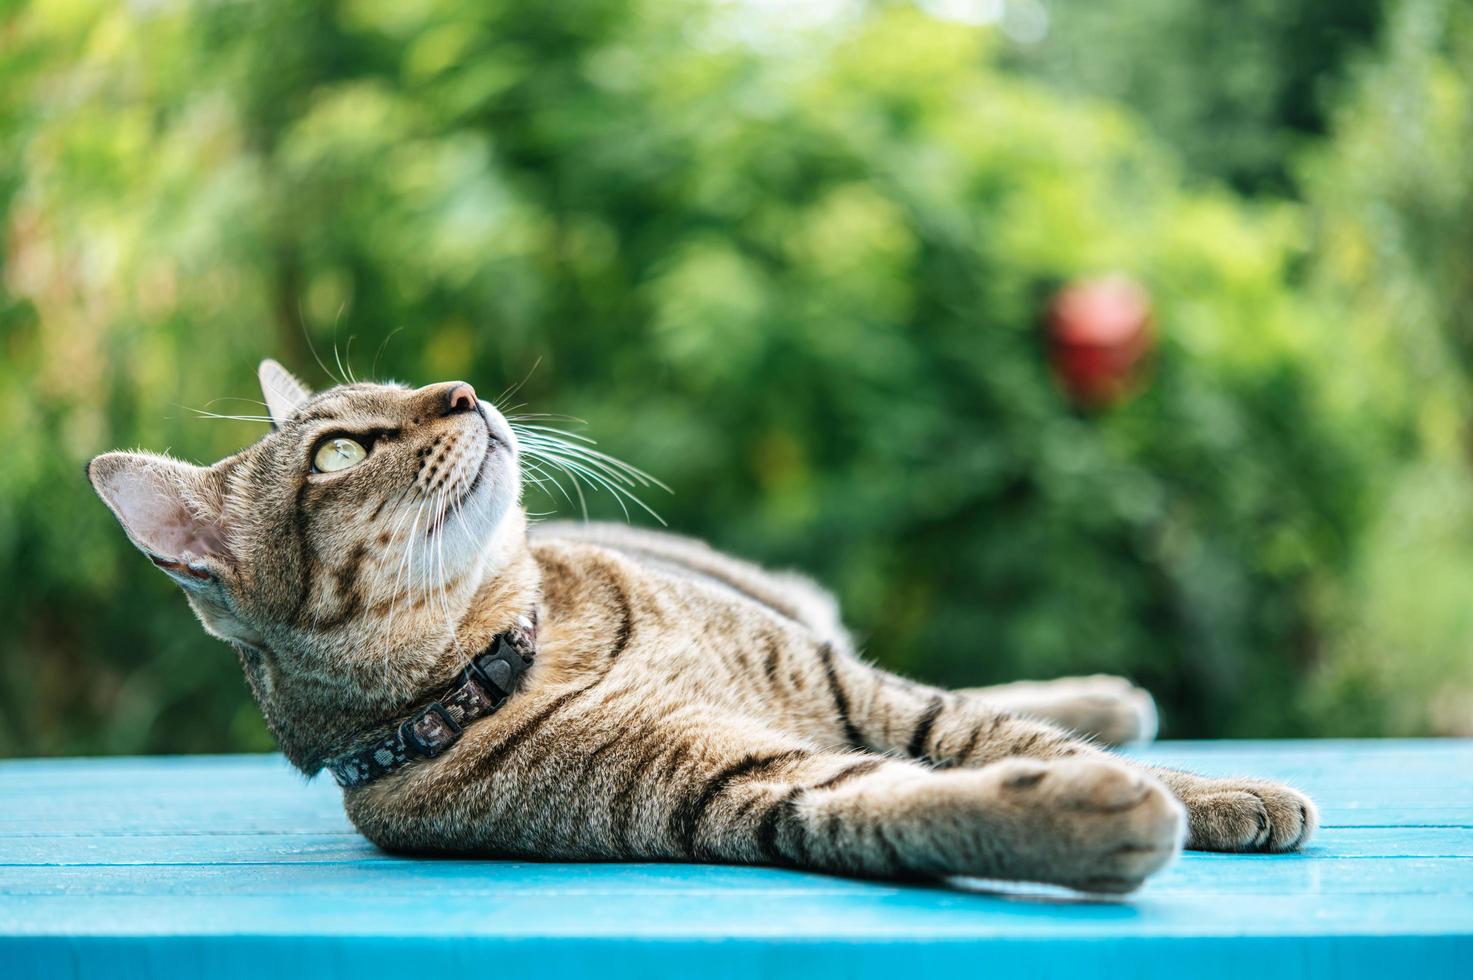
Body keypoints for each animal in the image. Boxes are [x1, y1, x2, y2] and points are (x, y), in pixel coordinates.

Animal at [86, 361, 1319, 896]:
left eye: (400, 382)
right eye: (338, 451)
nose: (463, 391)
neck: (525, 642)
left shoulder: (849, 689)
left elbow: (981, 732)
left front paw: (1216, 790)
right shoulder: (749, 788)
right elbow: (908, 801)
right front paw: (1084, 815)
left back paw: (1115, 698)